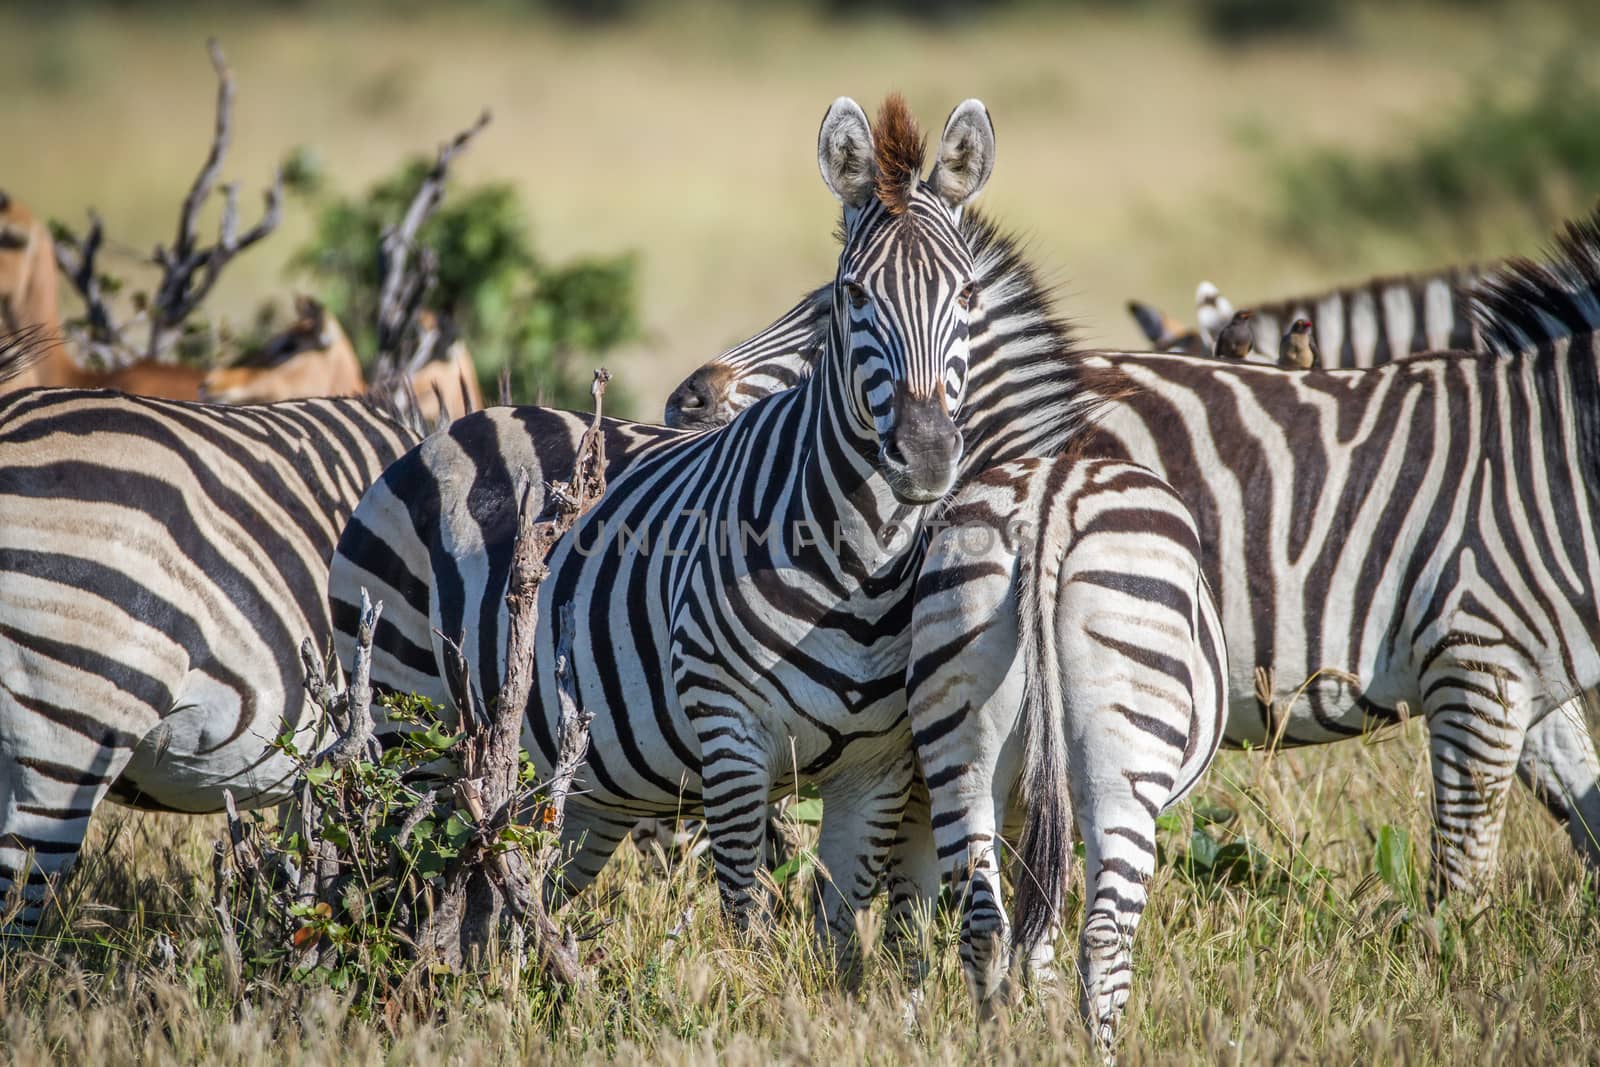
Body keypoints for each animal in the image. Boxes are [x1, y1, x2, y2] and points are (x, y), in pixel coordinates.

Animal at [659, 211, 1600, 921]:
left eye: (833, 314)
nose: (683, 398)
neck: (1551, 451)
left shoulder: (1502, 672)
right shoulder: (1478, 662)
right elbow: (1466, 880)